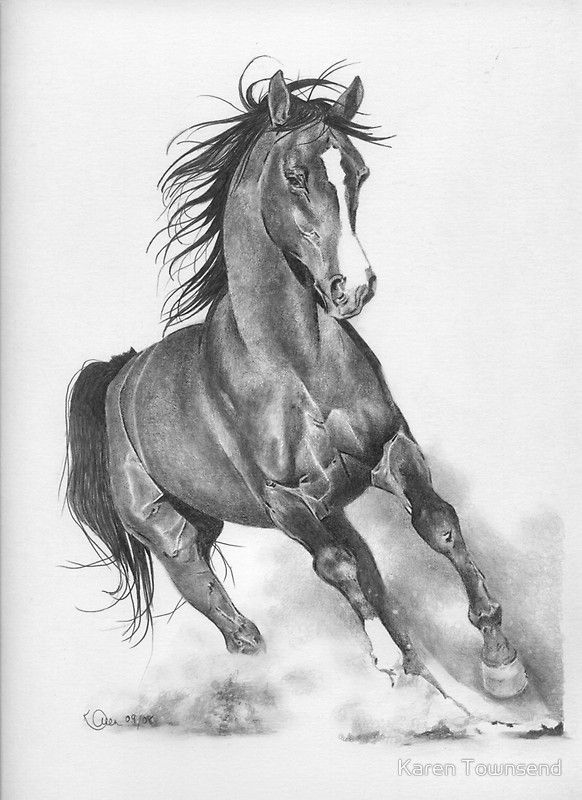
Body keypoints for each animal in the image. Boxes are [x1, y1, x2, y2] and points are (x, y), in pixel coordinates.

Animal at [65, 67, 527, 703]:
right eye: (295, 177)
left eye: (358, 172)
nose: (353, 287)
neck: (297, 366)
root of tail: (121, 374)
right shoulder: (285, 499)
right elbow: (335, 566)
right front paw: (384, 659)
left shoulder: (390, 453)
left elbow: (438, 526)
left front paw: (501, 660)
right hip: (169, 528)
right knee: (211, 594)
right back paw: (260, 655)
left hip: (292, 510)